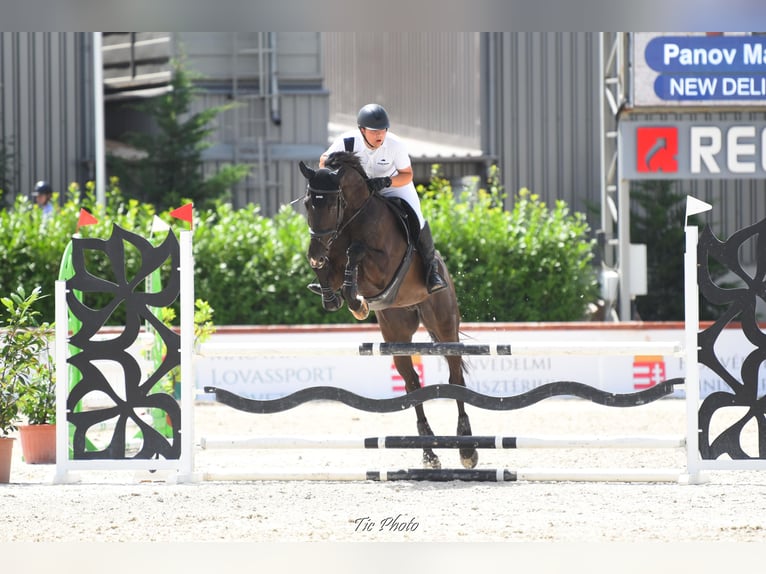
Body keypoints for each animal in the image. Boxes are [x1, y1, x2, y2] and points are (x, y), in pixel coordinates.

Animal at [296, 153, 476, 472]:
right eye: (307, 203)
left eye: (330, 204)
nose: (314, 252)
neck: (352, 219)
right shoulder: (332, 261)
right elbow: (330, 270)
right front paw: (339, 298)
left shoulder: (382, 267)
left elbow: (356, 252)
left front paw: (356, 301)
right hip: (396, 334)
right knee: (412, 384)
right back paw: (429, 453)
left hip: (443, 325)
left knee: (456, 378)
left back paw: (467, 449)